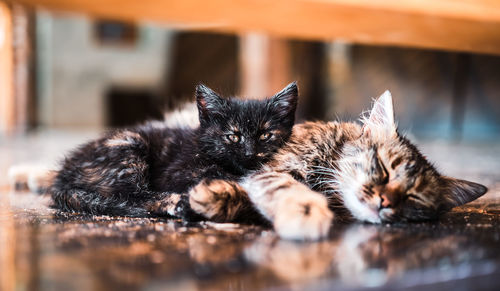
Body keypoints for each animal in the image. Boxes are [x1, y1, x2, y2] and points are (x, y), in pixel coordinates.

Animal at [49, 82, 298, 221]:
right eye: (233, 136)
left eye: (265, 135)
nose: (249, 153)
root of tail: (63, 177)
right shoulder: (176, 173)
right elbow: (217, 173)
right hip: (130, 144)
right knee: (131, 196)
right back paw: (177, 204)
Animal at [188, 92, 488, 241]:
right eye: (383, 167)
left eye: (412, 197)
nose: (385, 202)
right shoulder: (271, 169)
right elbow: (281, 186)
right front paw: (305, 212)